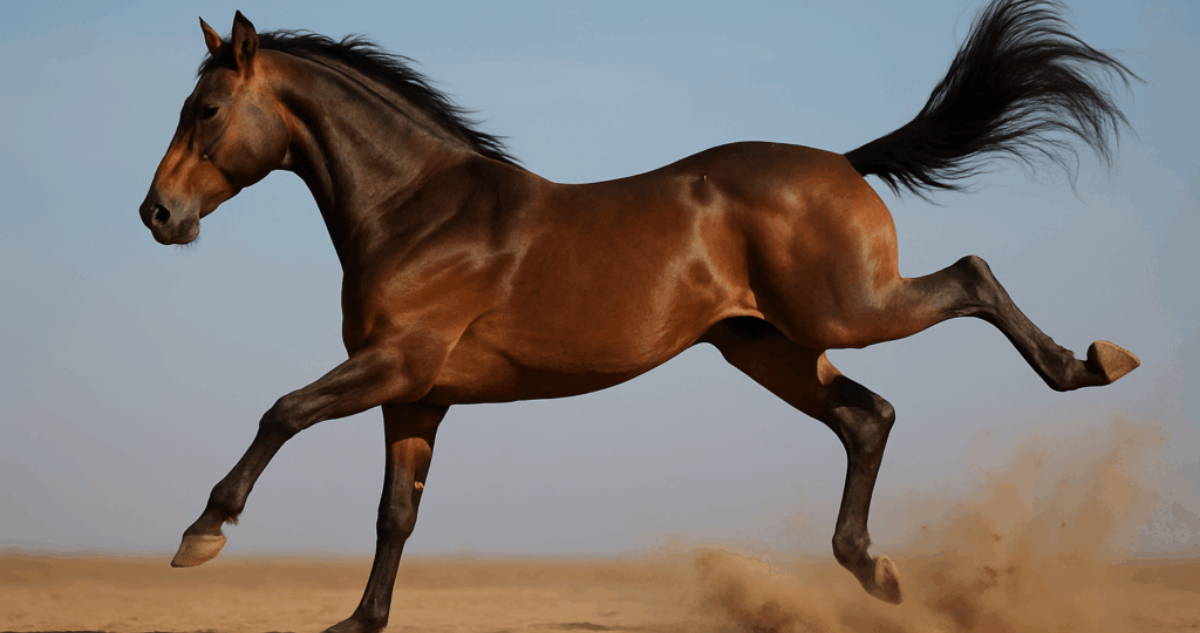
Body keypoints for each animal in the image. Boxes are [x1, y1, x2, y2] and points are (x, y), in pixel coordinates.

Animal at [140, 1, 1140, 631]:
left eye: (207, 107)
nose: (157, 214)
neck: (419, 209)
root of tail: (844, 162)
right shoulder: (417, 396)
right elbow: (396, 514)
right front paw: (359, 620)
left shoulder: (395, 365)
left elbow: (283, 410)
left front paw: (201, 533)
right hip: (769, 348)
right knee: (869, 415)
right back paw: (875, 569)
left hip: (851, 308)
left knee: (969, 278)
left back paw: (1091, 362)